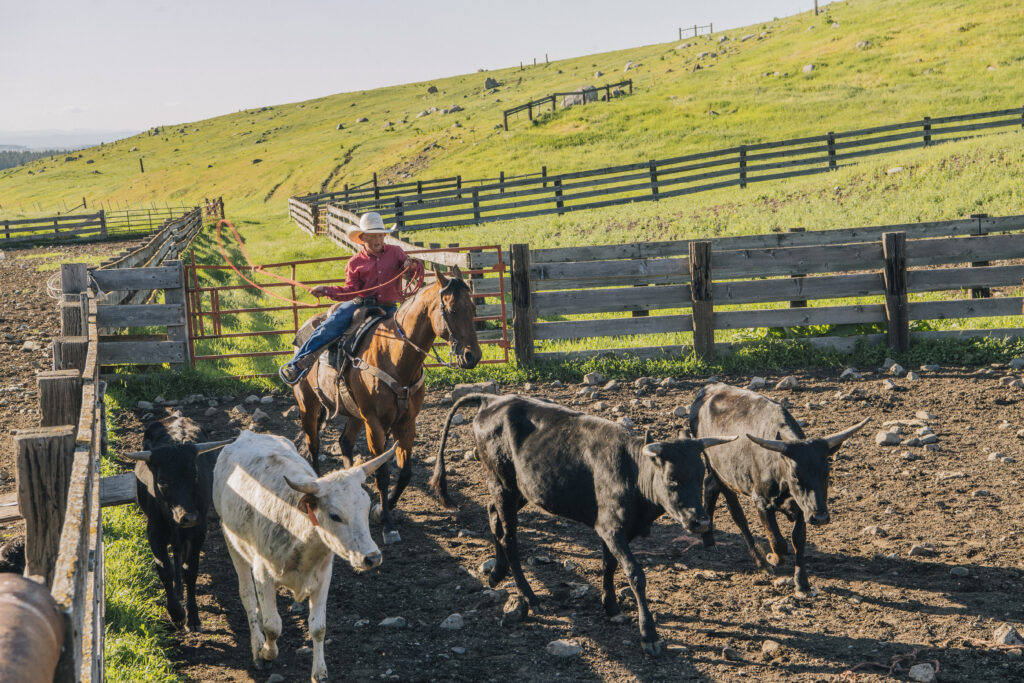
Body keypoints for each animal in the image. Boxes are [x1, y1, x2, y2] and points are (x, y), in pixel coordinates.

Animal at [121, 415, 232, 632]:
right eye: (163, 481)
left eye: (195, 475)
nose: (188, 517)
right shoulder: (154, 533)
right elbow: (165, 569)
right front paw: (177, 613)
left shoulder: (198, 532)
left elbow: (190, 570)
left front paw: (193, 617)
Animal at [213, 430, 394, 682]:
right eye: (335, 515)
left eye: (367, 507)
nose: (373, 557)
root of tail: (247, 434)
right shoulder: (263, 574)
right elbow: (272, 625)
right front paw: (266, 652)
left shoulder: (323, 577)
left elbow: (318, 627)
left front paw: (319, 672)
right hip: (232, 541)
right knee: (247, 596)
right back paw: (257, 647)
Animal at [430, 393, 736, 655]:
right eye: (672, 480)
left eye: (700, 475)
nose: (701, 521)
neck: (631, 471)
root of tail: (491, 400)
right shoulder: (612, 529)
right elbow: (635, 574)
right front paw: (648, 633)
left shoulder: (609, 528)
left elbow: (609, 565)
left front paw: (610, 605)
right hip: (502, 483)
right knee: (509, 537)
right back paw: (529, 595)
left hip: (519, 490)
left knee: (493, 515)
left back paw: (497, 572)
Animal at [689, 383, 869, 595]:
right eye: (795, 475)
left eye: (826, 473)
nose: (820, 517)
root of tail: (710, 389)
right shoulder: (762, 502)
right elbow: (778, 541)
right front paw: (772, 558)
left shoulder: (803, 507)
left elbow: (798, 539)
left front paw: (802, 582)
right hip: (720, 473)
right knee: (738, 516)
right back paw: (760, 562)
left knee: (709, 486)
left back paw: (708, 539)